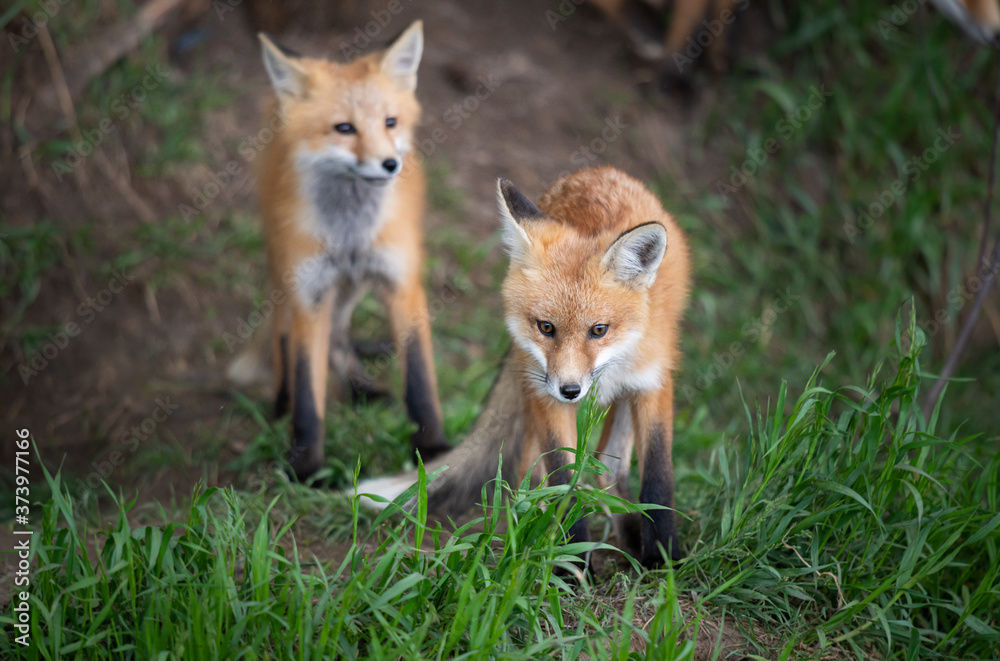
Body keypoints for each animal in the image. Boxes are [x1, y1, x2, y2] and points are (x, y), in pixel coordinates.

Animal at [227, 21, 450, 479]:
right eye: (344, 128)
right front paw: (306, 471)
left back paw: (360, 388)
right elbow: (308, 398)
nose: (390, 164)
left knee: (341, 332)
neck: (351, 232)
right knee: (286, 334)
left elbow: (420, 381)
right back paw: (282, 398)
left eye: (390, 122)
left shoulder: (401, 282)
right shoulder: (310, 293)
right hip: (290, 272)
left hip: (354, 286)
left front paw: (433, 449)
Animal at [360, 167, 691, 567]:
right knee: (531, 477)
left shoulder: (653, 382)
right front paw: (572, 566)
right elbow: (563, 482)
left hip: (627, 393)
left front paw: (664, 560)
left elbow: (658, 480)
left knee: (607, 464)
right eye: (546, 327)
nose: (570, 391)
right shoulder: (544, 394)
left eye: (599, 330)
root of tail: (595, 173)